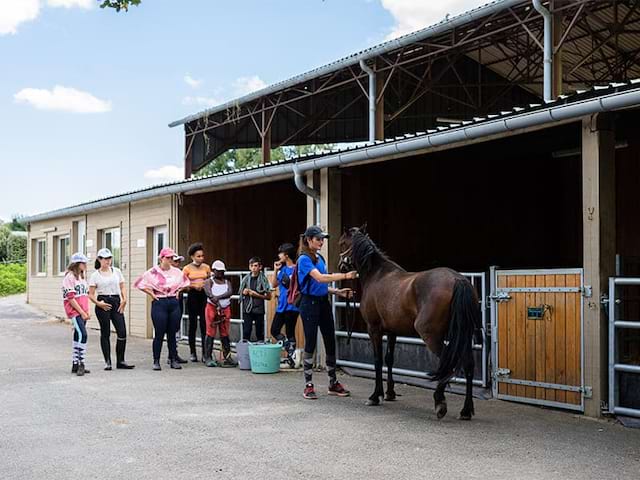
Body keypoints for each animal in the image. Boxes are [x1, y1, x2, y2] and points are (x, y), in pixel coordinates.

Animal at [340, 227, 480, 418]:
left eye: (342, 243)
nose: (341, 266)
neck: (376, 275)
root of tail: (458, 280)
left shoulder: (374, 329)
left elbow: (377, 360)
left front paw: (375, 396)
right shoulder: (392, 331)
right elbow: (389, 359)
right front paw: (390, 393)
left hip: (431, 335)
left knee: (447, 365)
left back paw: (440, 402)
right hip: (463, 336)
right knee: (468, 365)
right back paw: (465, 410)